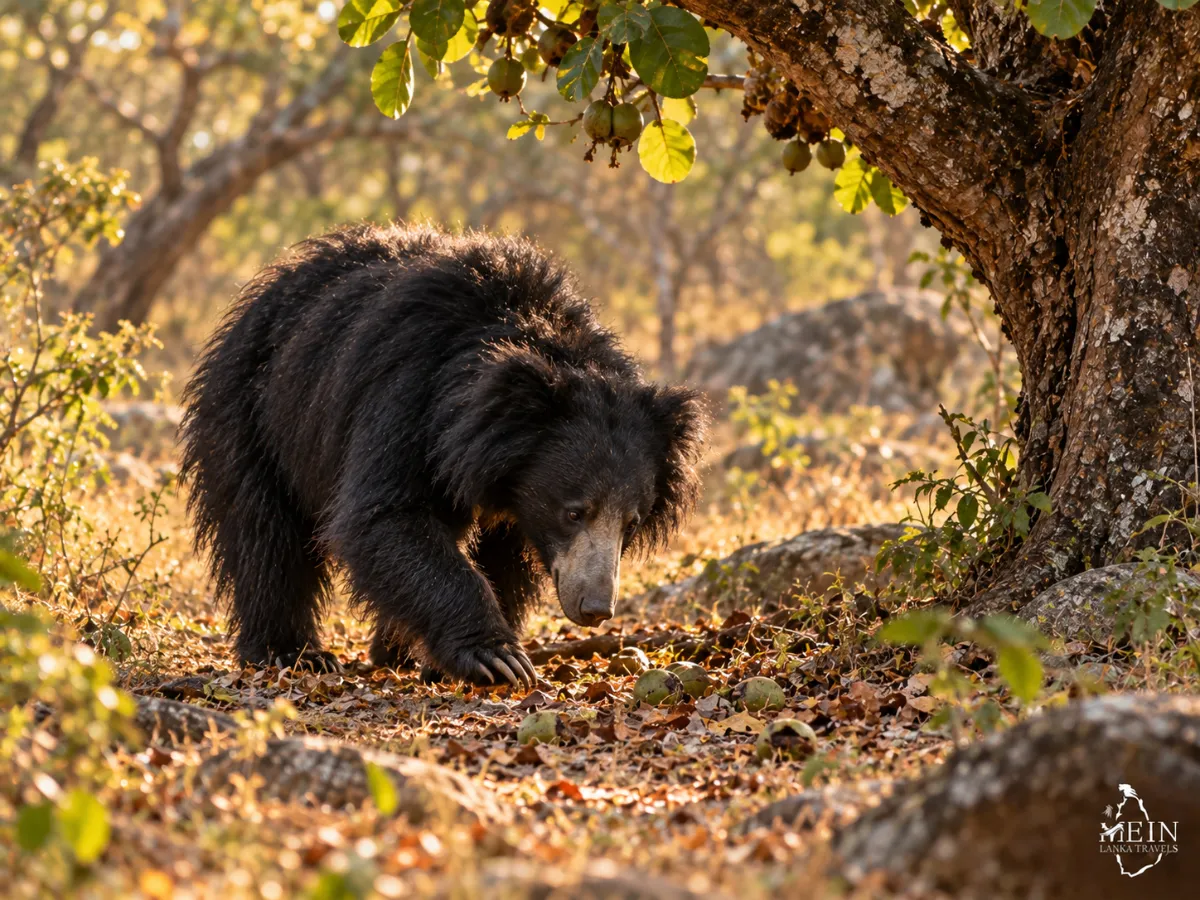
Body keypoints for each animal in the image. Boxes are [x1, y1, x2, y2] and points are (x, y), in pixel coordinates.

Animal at [180, 224, 707, 687]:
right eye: (574, 512)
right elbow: (386, 515)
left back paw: (392, 650)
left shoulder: (514, 494)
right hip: (258, 414)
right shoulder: (405, 395)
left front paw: (451, 658)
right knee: (265, 533)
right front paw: (496, 658)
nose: (595, 609)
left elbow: (503, 561)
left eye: (631, 523)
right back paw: (291, 652)